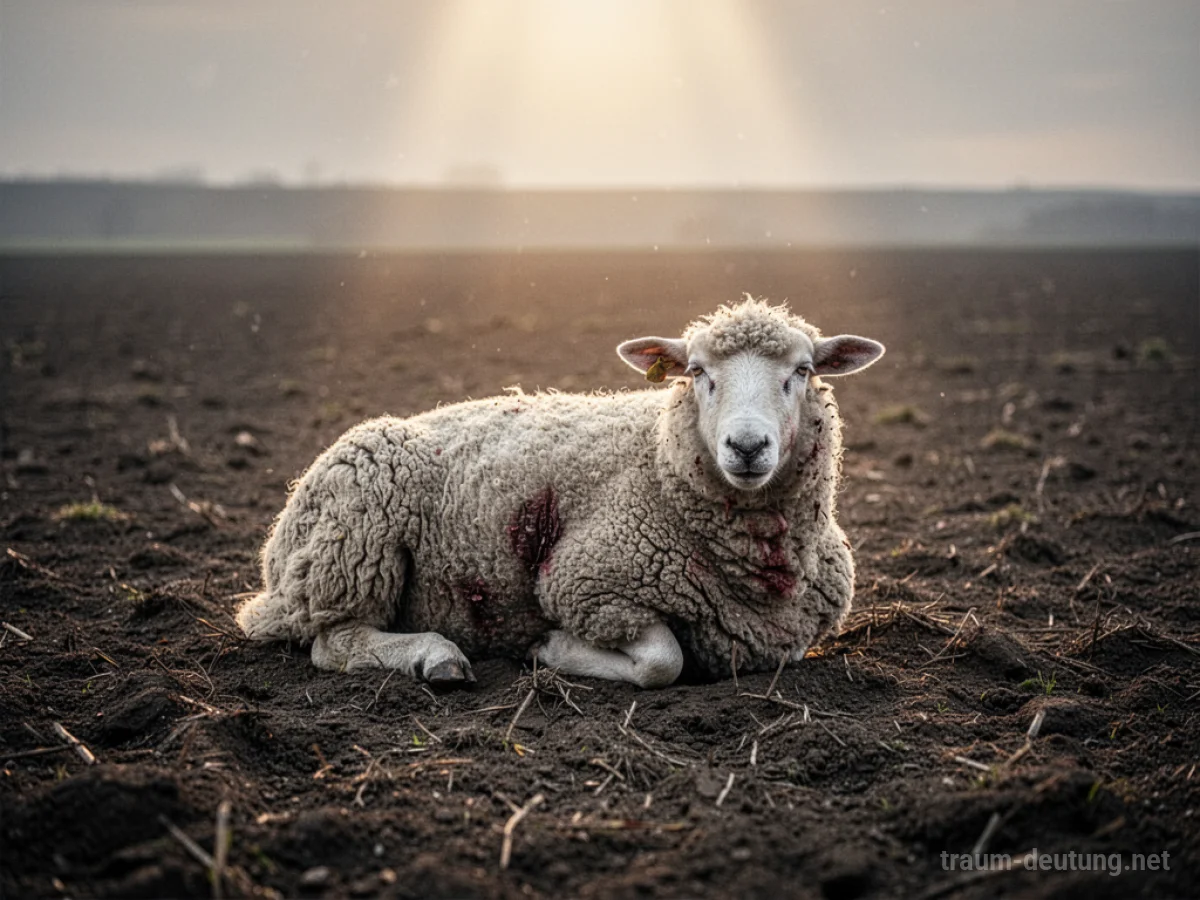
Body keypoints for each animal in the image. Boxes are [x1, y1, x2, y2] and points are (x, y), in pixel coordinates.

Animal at [235, 297, 885, 687]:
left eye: (802, 371)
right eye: (698, 372)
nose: (747, 446)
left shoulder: (786, 638)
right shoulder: (586, 581)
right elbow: (662, 663)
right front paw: (550, 649)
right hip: (351, 549)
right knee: (333, 642)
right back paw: (436, 656)